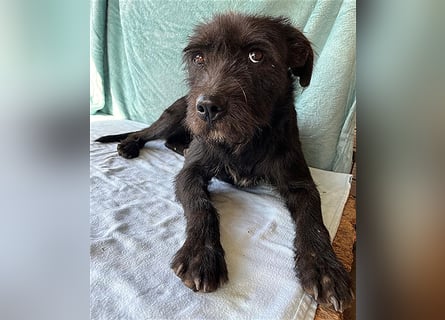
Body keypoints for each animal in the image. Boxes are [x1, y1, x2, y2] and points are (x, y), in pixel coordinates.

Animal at [95, 12, 352, 312]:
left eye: (256, 55)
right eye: (198, 58)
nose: (207, 107)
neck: (243, 141)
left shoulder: (300, 182)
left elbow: (314, 219)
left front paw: (324, 266)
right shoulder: (190, 174)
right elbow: (201, 206)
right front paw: (201, 255)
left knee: (171, 141)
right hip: (173, 116)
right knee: (146, 133)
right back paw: (129, 145)